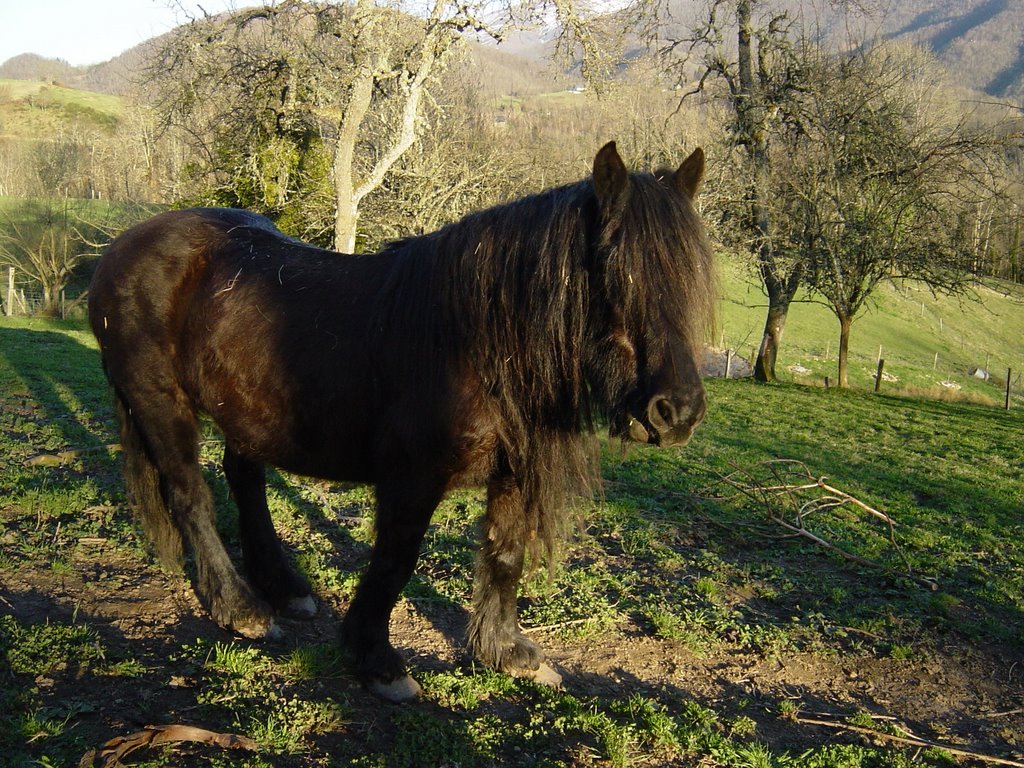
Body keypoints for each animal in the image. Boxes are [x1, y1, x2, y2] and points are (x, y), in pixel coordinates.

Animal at [88, 141, 716, 700]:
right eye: (613, 266)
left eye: (690, 275)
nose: (676, 413)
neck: (472, 339)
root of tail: (123, 247)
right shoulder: (413, 478)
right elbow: (395, 561)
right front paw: (376, 660)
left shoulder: (513, 470)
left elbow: (505, 553)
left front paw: (505, 651)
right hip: (160, 402)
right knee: (190, 497)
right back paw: (239, 607)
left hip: (247, 410)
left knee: (245, 481)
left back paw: (284, 588)